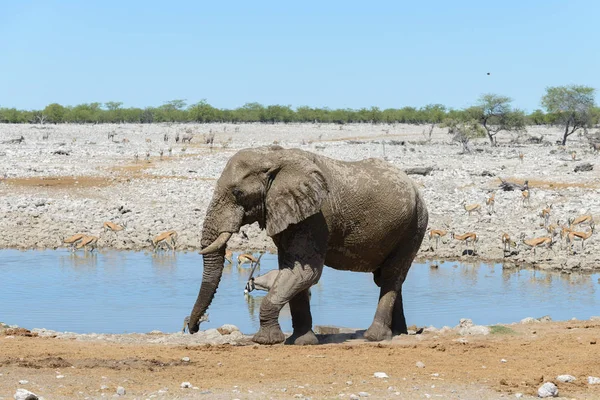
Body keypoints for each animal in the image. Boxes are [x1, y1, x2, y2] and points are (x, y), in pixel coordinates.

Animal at [190, 145, 428, 346]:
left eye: (238, 193)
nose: (194, 328)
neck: (274, 156)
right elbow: (293, 270)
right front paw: (301, 341)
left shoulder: (316, 217)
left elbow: (304, 273)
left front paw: (266, 340)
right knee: (389, 278)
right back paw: (398, 333)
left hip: (414, 226)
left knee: (390, 276)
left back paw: (375, 337)